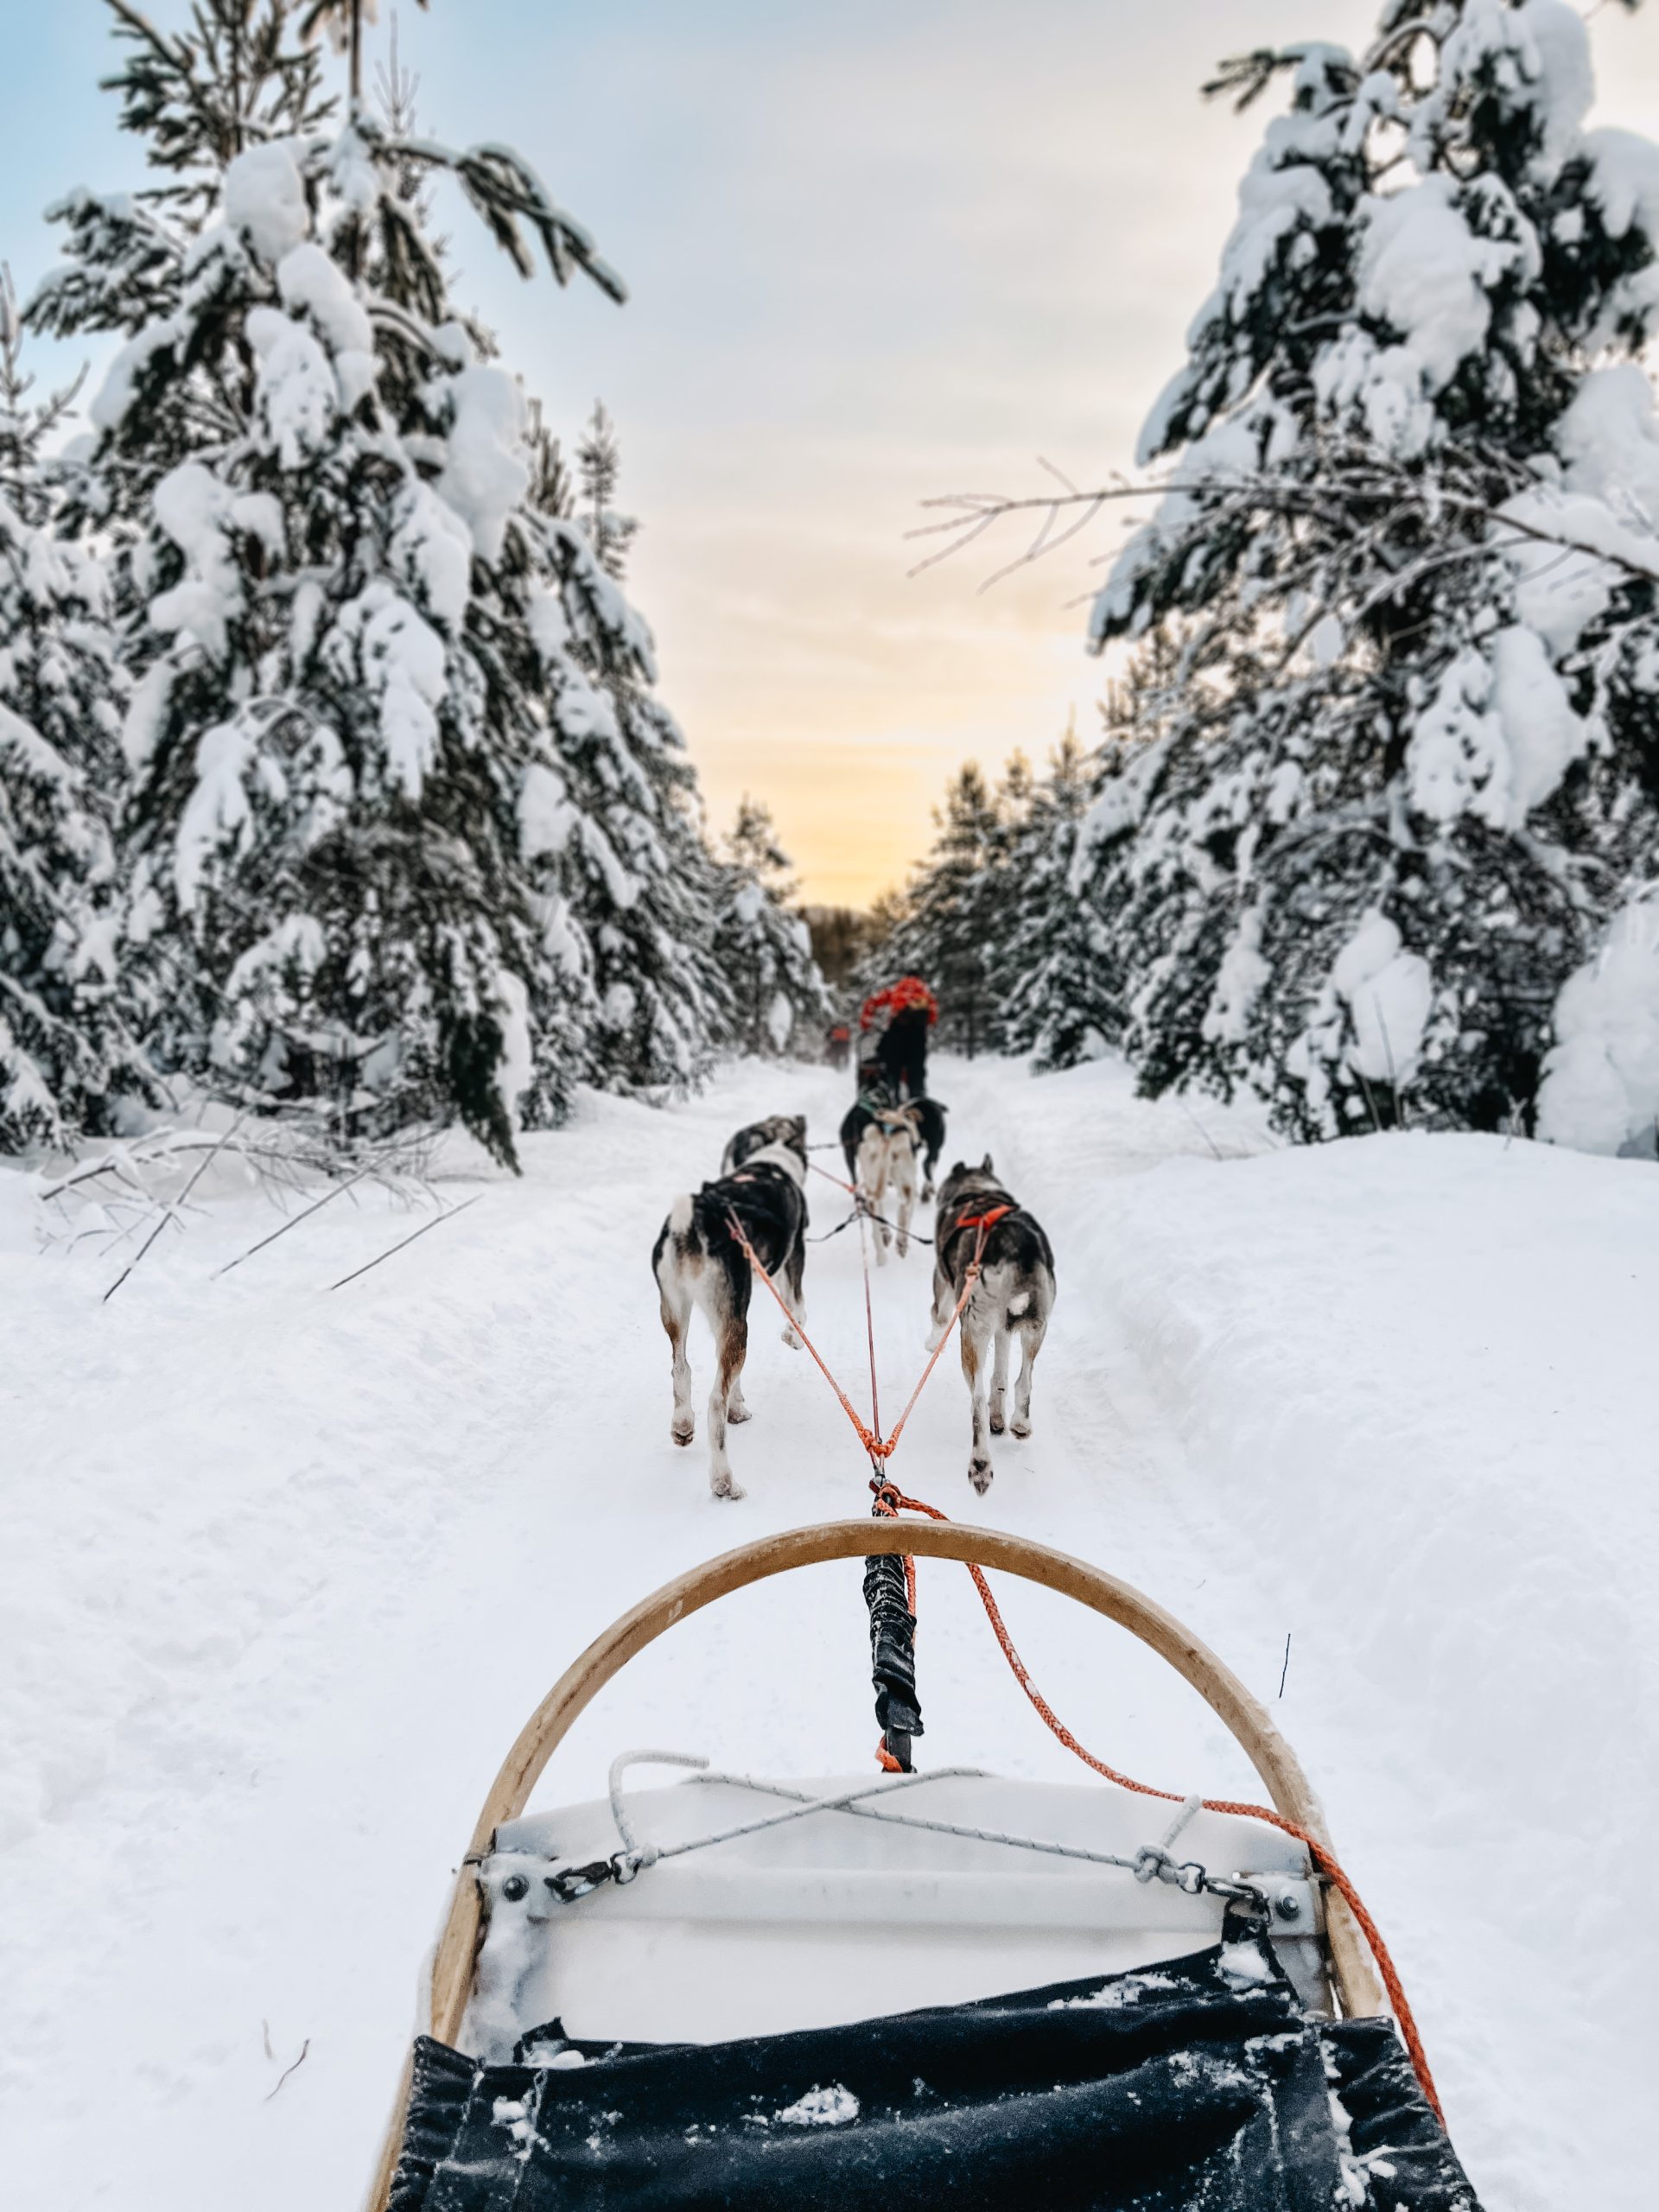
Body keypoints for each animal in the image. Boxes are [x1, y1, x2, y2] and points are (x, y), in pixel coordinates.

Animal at [654, 1150, 809, 1495]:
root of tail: (695, 1224)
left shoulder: (729, 1317)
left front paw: (737, 1408)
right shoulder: (793, 1258)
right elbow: (797, 1310)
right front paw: (793, 1336)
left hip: (677, 1307)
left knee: (680, 1367)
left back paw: (682, 1425)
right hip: (733, 1323)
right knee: (715, 1403)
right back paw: (723, 1481)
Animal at [929, 1159, 1057, 1503]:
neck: (977, 1191)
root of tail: (1017, 1246)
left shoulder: (946, 1289)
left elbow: (938, 1315)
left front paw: (931, 1342)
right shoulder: (1005, 1328)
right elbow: (1000, 1378)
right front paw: (999, 1418)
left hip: (971, 1332)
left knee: (977, 1400)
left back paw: (981, 1466)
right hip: (1036, 1326)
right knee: (1023, 1380)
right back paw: (1019, 1424)